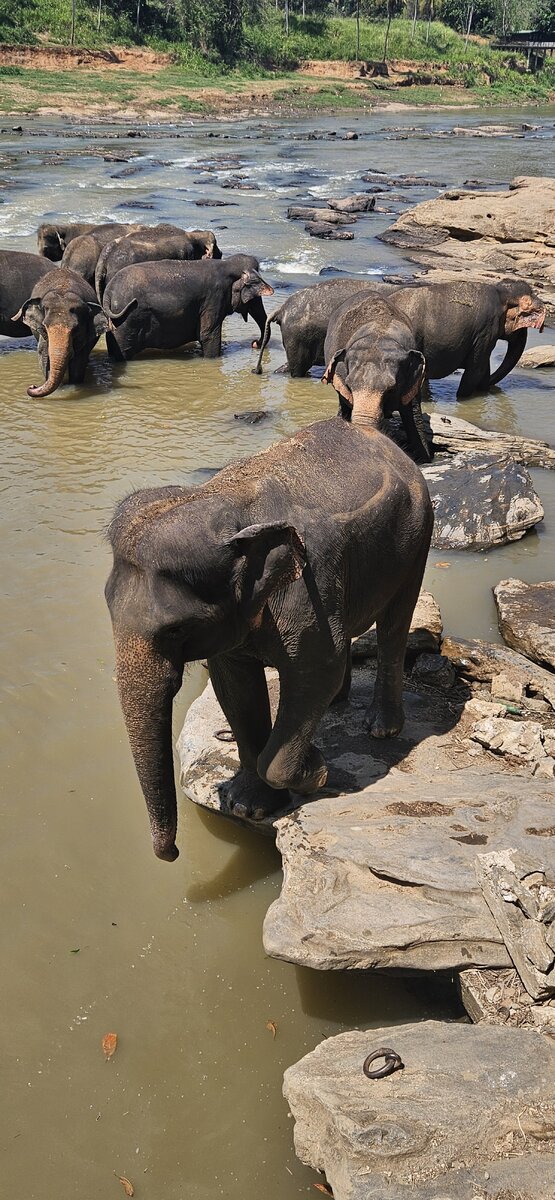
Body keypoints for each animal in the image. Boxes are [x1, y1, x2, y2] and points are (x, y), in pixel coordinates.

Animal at [12, 267, 114, 398]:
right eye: (44, 326)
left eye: (76, 329)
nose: (32, 386)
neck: (63, 289)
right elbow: (43, 354)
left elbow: (79, 361)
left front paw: (74, 385)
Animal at [102, 253, 273, 360]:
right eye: (255, 298)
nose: (254, 343)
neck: (227, 263)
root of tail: (108, 292)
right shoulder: (214, 298)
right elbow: (208, 335)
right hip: (128, 320)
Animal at [103, 415, 432, 864]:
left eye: (176, 629)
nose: (172, 853)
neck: (223, 503)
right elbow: (235, 686)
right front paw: (247, 805)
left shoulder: (310, 583)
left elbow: (316, 671)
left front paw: (315, 770)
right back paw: (337, 704)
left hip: (418, 535)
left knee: (395, 625)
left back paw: (381, 729)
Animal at [321, 291, 432, 463]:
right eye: (349, 386)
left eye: (391, 390)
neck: (381, 333)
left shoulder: (412, 381)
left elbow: (413, 417)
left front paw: (425, 457)